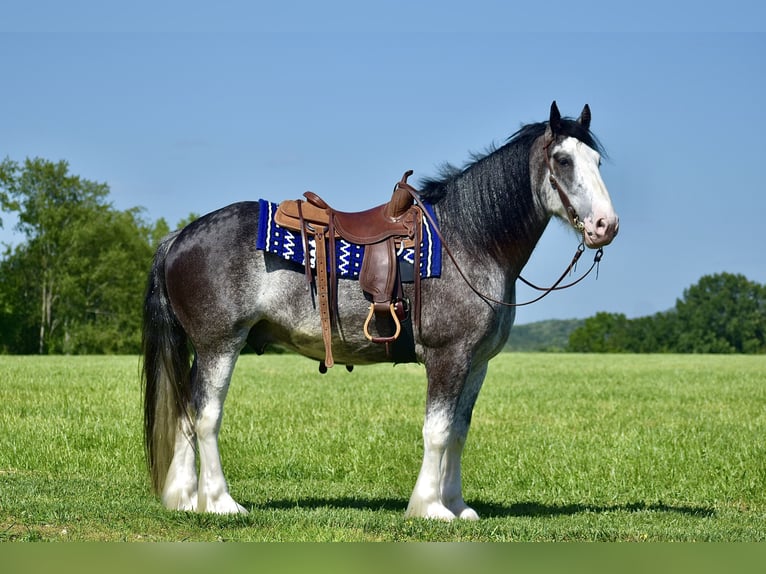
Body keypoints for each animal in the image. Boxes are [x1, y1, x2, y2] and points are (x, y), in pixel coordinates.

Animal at [144, 101, 620, 520]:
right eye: (562, 160)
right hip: (220, 345)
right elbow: (437, 432)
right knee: (206, 416)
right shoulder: (448, 357)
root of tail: (180, 236)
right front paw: (431, 508)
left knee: (186, 412)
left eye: (597, 160)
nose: (606, 226)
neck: (469, 240)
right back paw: (220, 503)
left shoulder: (476, 363)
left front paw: (457, 506)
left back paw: (184, 499)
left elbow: (459, 433)